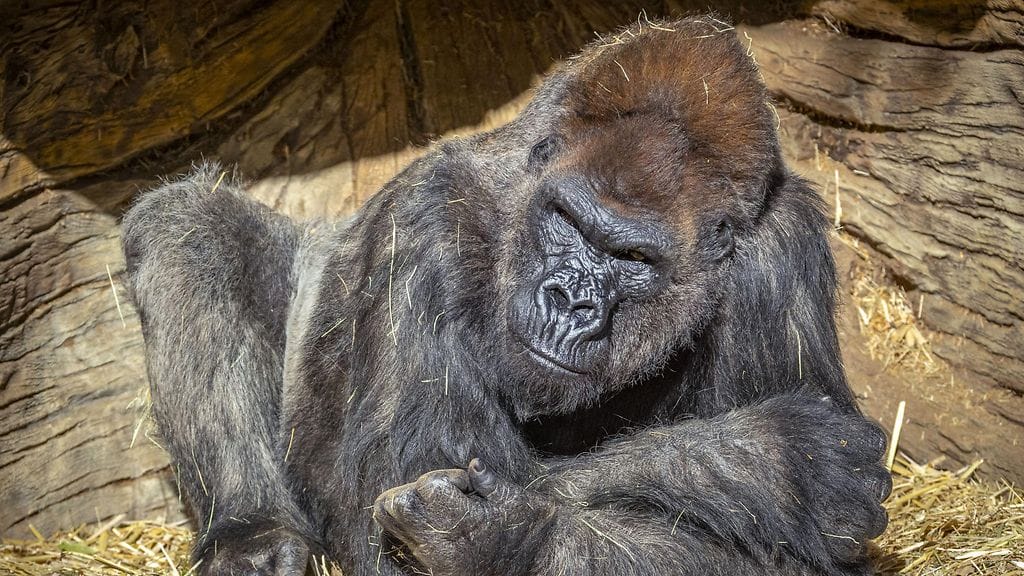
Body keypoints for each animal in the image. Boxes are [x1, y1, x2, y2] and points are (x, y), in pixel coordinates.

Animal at [122, 16, 890, 576]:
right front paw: (774, 461)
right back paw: (252, 535)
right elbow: (387, 522)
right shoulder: (427, 220)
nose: (570, 302)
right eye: (568, 222)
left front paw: (500, 537)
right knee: (188, 226)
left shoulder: (780, 254)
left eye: (632, 258)